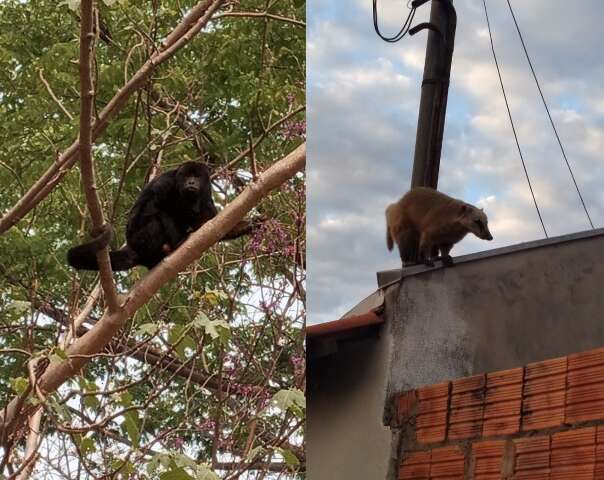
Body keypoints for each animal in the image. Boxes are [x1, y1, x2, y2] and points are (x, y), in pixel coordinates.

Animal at [66, 162, 255, 270]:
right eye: (187, 175)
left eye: (196, 176)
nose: (191, 182)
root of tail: (133, 248)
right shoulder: (165, 183)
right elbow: (147, 210)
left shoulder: (206, 195)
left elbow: (214, 224)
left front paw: (249, 224)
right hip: (142, 240)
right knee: (158, 215)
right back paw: (176, 244)